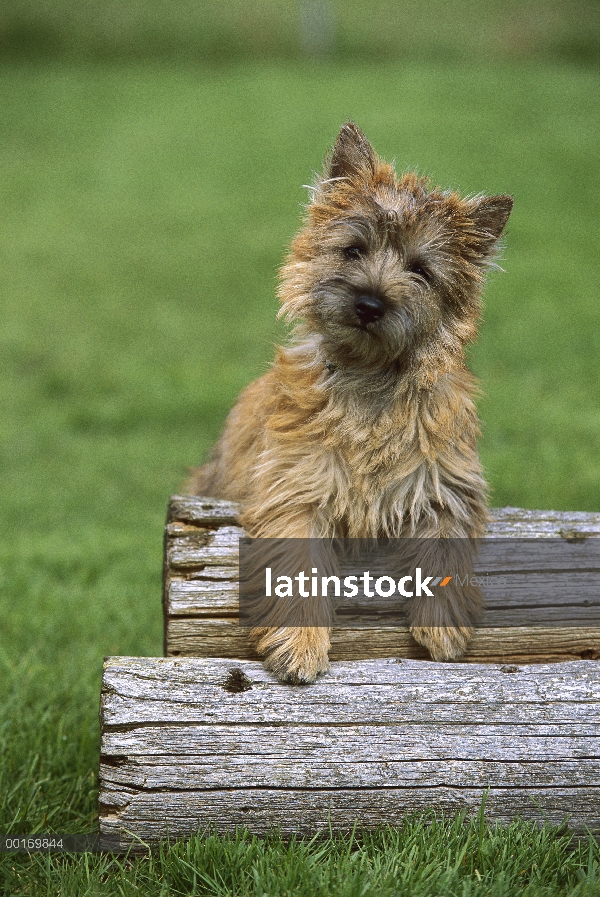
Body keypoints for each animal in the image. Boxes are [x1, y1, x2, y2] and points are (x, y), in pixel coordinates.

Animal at [190, 119, 512, 680]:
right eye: (353, 250)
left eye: (421, 270)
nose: (369, 303)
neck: (368, 383)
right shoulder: (295, 488)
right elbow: (297, 570)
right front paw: (299, 645)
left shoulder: (446, 483)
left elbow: (445, 550)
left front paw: (443, 627)